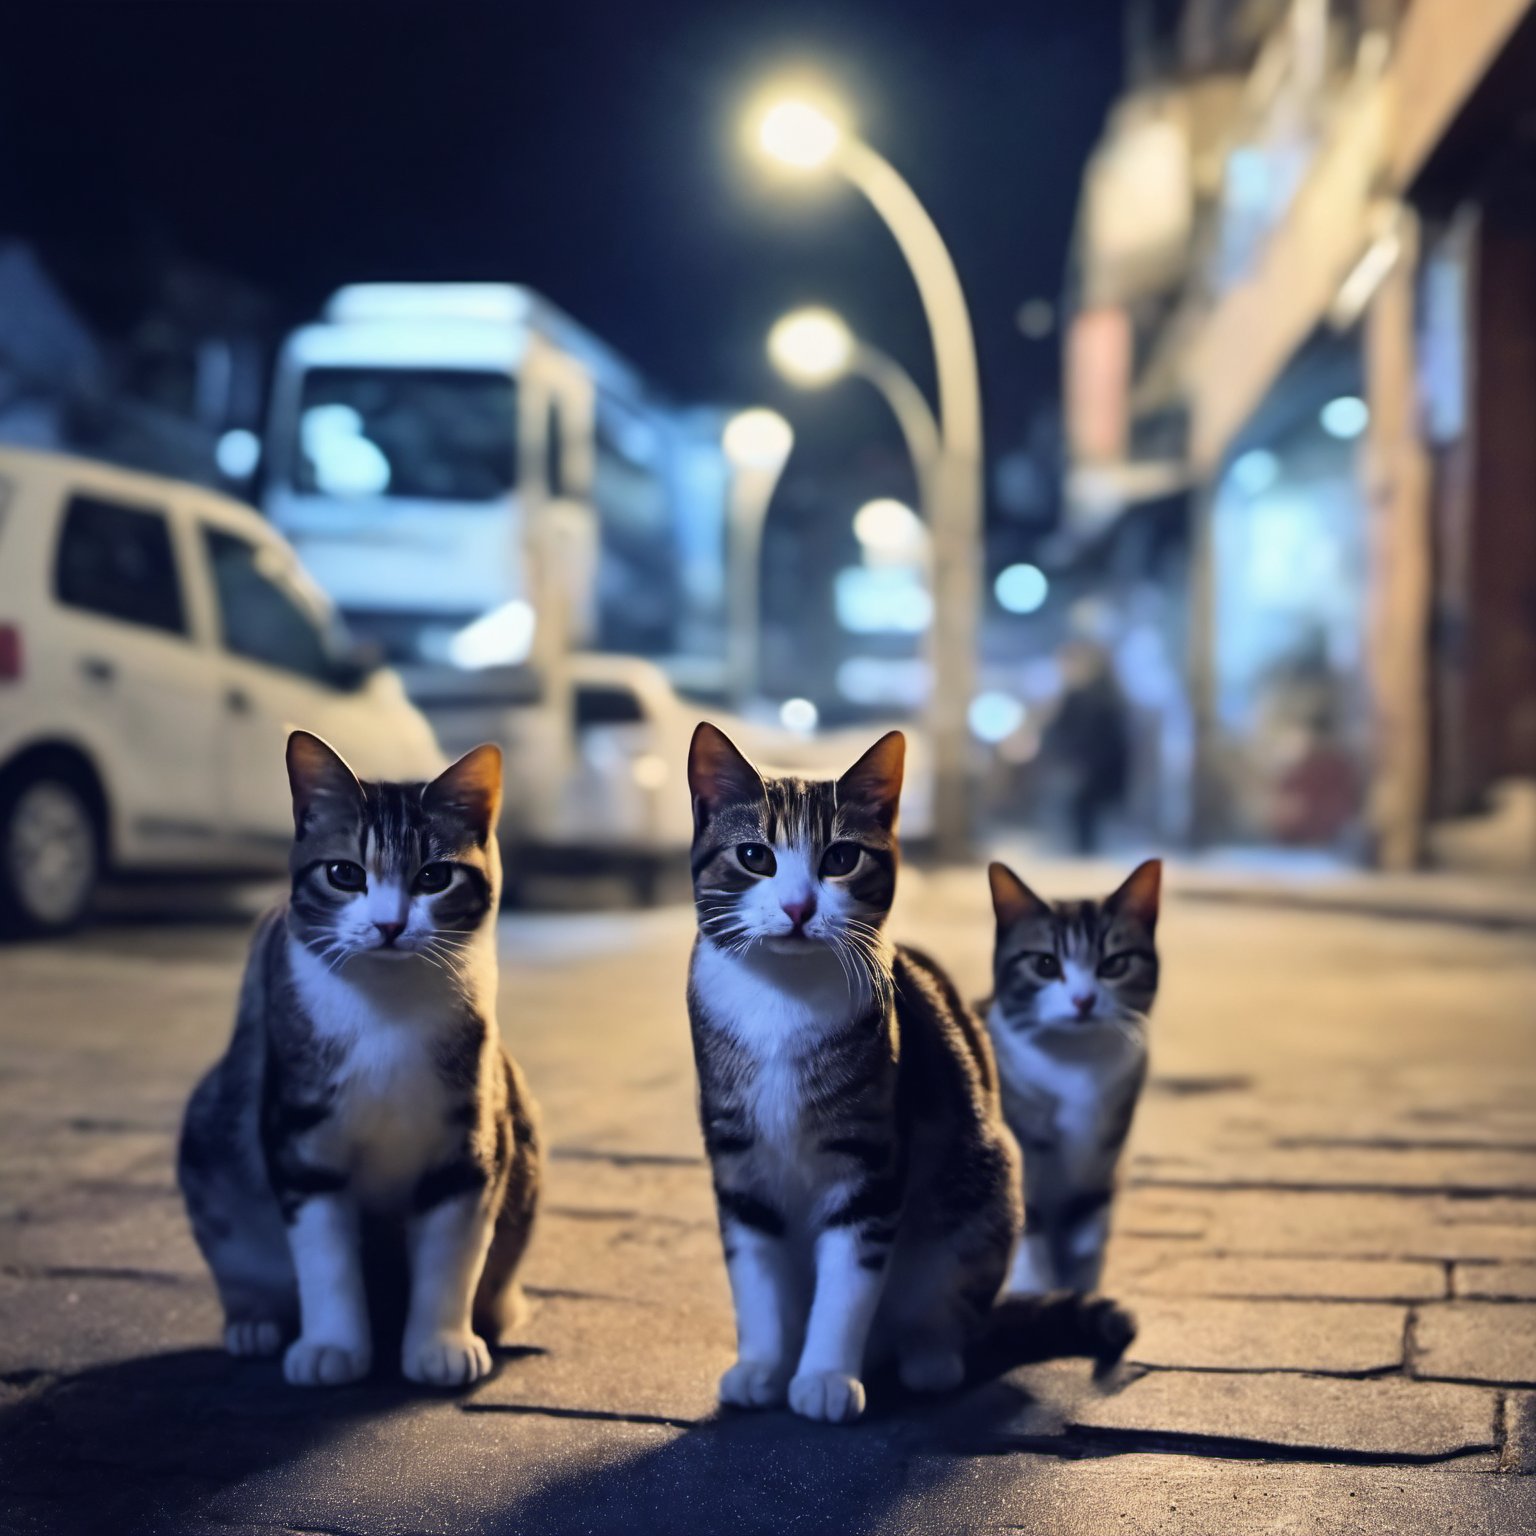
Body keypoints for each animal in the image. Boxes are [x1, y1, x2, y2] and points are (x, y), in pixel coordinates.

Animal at [177, 731, 540, 1394]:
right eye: (344, 873)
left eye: (434, 876)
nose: (389, 924)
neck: (388, 1008)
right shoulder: (301, 1138)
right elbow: (326, 1259)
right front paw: (331, 1348)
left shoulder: (469, 1140)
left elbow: (451, 1255)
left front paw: (440, 1346)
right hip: (211, 1139)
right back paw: (254, 1323)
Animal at [681, 724, 1019, 1419]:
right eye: (754, 856)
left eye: (840, 859)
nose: (798, 906)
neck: (782, 1002)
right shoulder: (737, 1160)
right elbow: (753, 1274)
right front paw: (762, 1366)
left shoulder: (872, 1158)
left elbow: (848, 1281)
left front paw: (826, 1378)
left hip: (983, 1196)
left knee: (944, 1295)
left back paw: (928, 1358)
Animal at [989, 860, 1155, 1302]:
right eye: (1046, 964)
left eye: (1113, 965)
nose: (1083, 1001)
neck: (1077, 1067)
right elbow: (1029, 1227)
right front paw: (1034, 1293)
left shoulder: (1105, 1155)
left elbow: (1089, 1239)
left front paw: (1082, 1293)